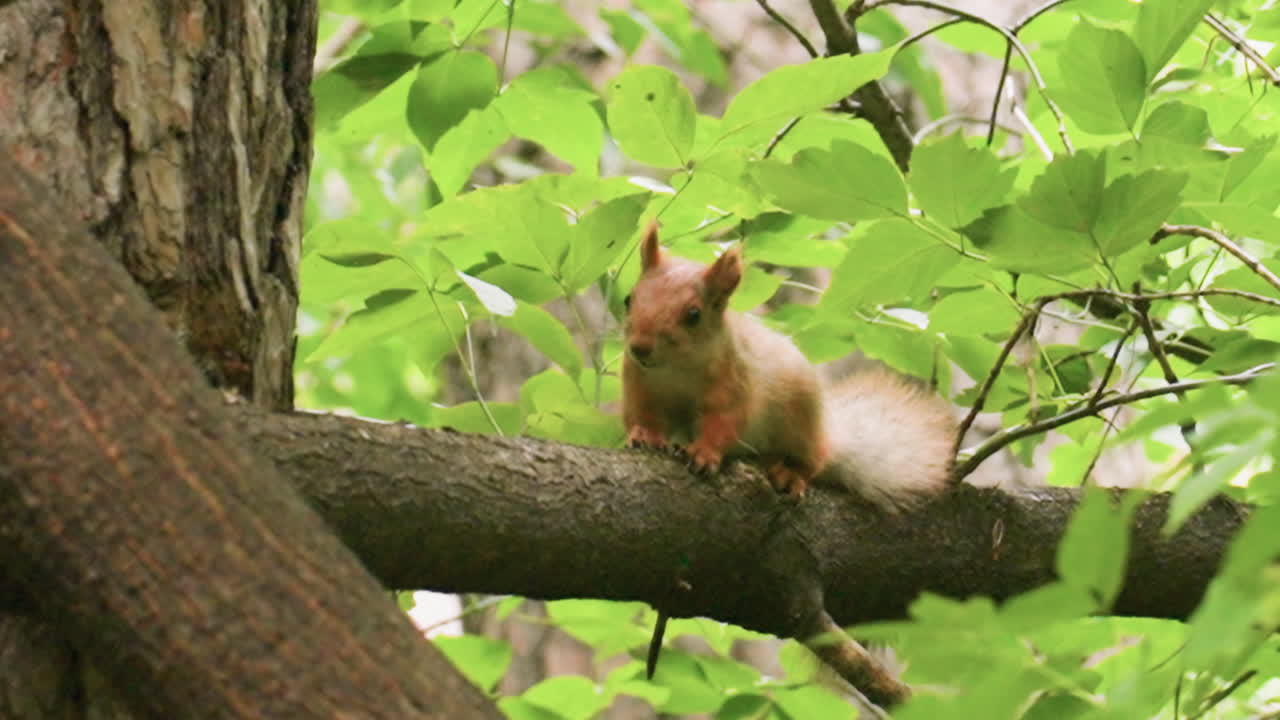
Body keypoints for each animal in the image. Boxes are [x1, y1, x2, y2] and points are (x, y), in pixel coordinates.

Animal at [622, 222, 956, 512]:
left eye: (693, 314)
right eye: (628, 299)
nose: (640, 347)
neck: (676, 368)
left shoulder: (736, 380)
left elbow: (725, 421)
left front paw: (704, 453)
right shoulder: (639, 382)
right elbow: (643, 412)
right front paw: (644, 435)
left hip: (800, 415)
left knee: (815, 459)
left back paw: (790, 474)